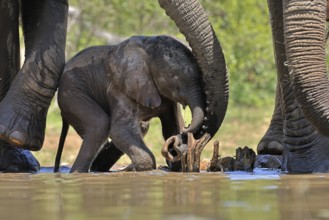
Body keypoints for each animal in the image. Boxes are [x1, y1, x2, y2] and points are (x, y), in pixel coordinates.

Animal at [53, 35, 205, 173]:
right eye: (171, 76)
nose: (186, 129)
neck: (147, 50)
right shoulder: (119, 88)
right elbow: (120, 129)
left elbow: (171, 125)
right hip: (72, 93)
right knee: (99, 124)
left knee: (141, 126)